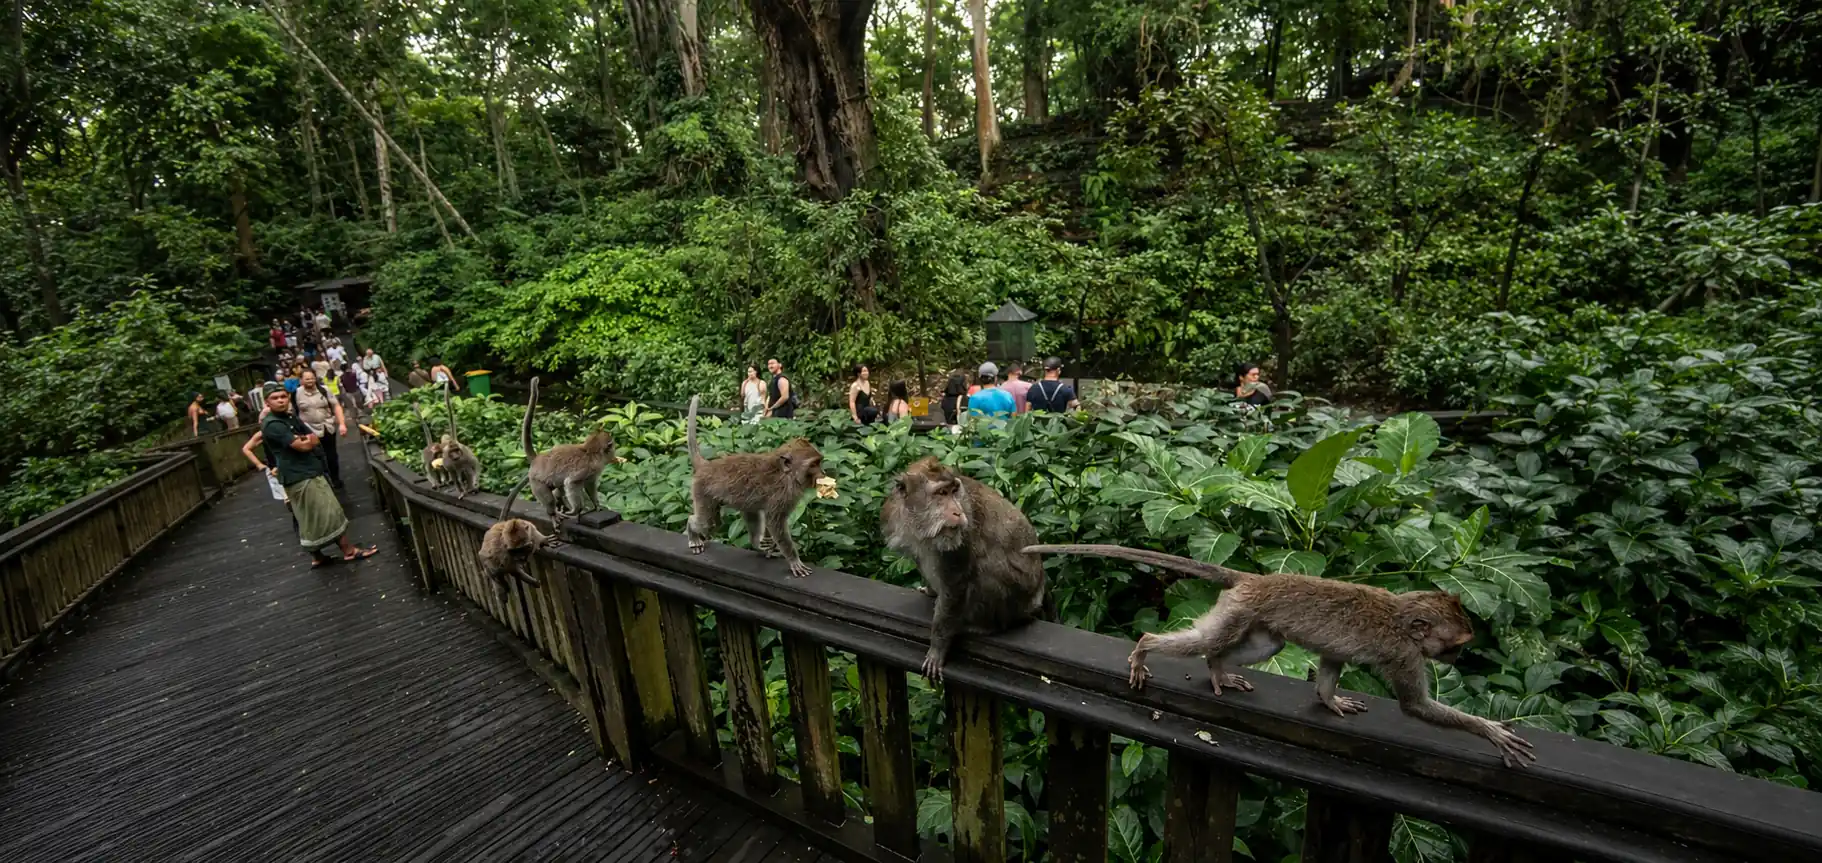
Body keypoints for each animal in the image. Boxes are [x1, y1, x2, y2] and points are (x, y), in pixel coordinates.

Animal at [523, 377, 617, 526]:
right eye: (612, 447)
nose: (614, 452)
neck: (590, 452)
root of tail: (537, 459)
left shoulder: (592, 472)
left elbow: (589, 485)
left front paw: (596, 504)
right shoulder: (588, 467)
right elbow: (571, 483)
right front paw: (576, 510)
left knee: (559, 488)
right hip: (536, 481)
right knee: (550, 497)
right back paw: (552, 513)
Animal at [685, 395, 825, 578]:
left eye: (819, 462)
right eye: (813, 465)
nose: (823, 473)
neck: (786, 474)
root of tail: (705, 466)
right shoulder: (782, 495)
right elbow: (775, 523)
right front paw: (794, 559)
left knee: (736, 517)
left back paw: (756, 544)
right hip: (702, 492)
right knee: (707, 522)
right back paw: (692, 531)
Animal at [882, 457, 1050, 681]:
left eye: (954, 491)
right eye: (941, 493)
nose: (958, 512)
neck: (919, 524)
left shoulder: (961, 538)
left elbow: (956, 585)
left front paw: (938, 647)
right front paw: (930, 590)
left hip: (1017, 603)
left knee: (985, 571)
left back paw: (984, 626)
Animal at [1021, 543, 1537, 768]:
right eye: (1456, 645)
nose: (1457, 662)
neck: (1401, 617)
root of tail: (1257, 579)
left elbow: (1330, 667)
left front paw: (1330, 699)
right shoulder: (1404, 655)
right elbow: (1415, 707)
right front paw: (1490, 732)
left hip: (1251, 616)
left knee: (1267, 647)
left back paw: (1218, 669)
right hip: (1237, 610)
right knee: (1204, 641)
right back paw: (1146, 648)